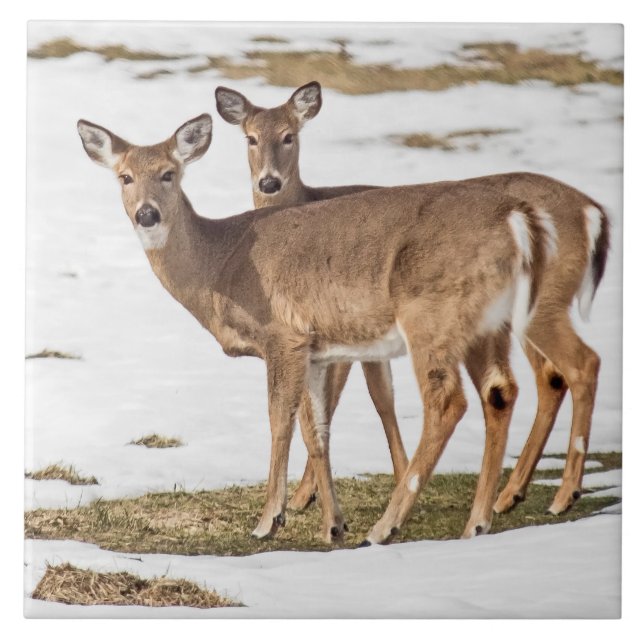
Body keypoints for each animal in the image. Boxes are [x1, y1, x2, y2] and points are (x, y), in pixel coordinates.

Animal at [215, 81, 610, 522]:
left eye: (289, 136)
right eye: (250, 137)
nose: (269, 182)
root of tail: (593, 211)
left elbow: (336, 399)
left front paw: (307, 495)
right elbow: (375, 397)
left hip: (539, 302)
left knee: (574, 366)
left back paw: (558, 495)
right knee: (548, 377)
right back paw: (512, 495)